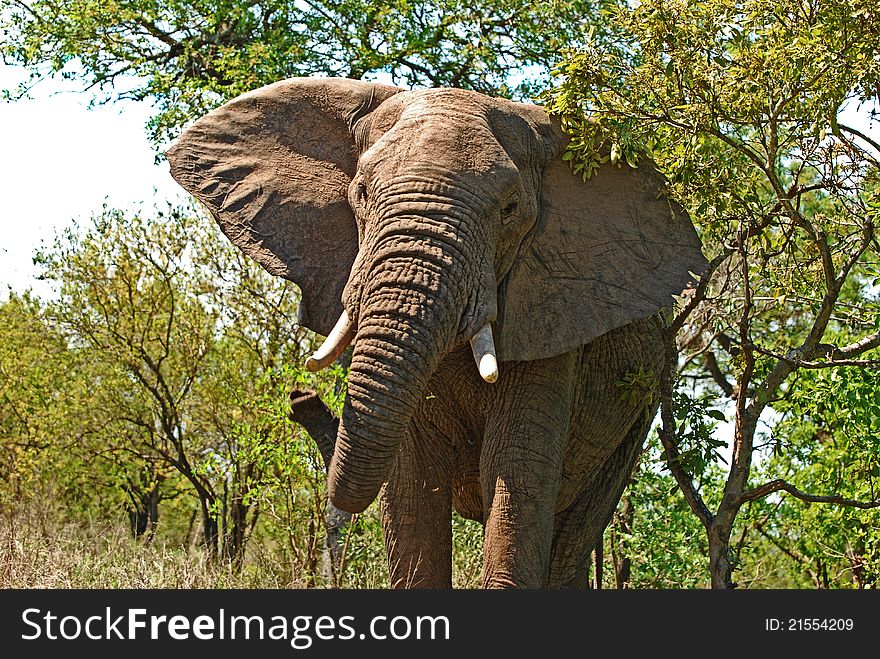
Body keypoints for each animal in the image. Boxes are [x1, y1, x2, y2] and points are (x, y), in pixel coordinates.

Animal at [167, 77, 708, 588]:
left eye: (510, 208)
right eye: (361, 193)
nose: (301, 399)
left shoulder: (553, 321)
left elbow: (515, 473)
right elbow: (411, 483)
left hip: (637, 413)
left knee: (572, 538)